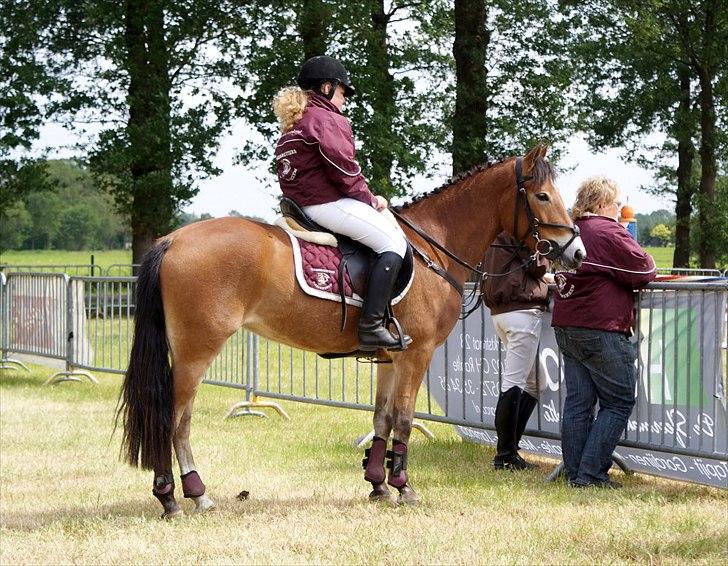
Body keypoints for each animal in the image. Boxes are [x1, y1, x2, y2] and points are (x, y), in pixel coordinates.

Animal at [119, 144, 584, 516]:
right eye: (543, 196)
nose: (576, 252)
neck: (432, 246)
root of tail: (173, 240)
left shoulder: (391, 356)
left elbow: (382, 418)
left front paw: (378, 482)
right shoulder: (417, 354)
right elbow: (404, 419)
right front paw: (404, 486)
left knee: (180, 420)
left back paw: (193, 494)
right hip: (197, 351)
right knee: (173, 419)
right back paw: (175, 496)